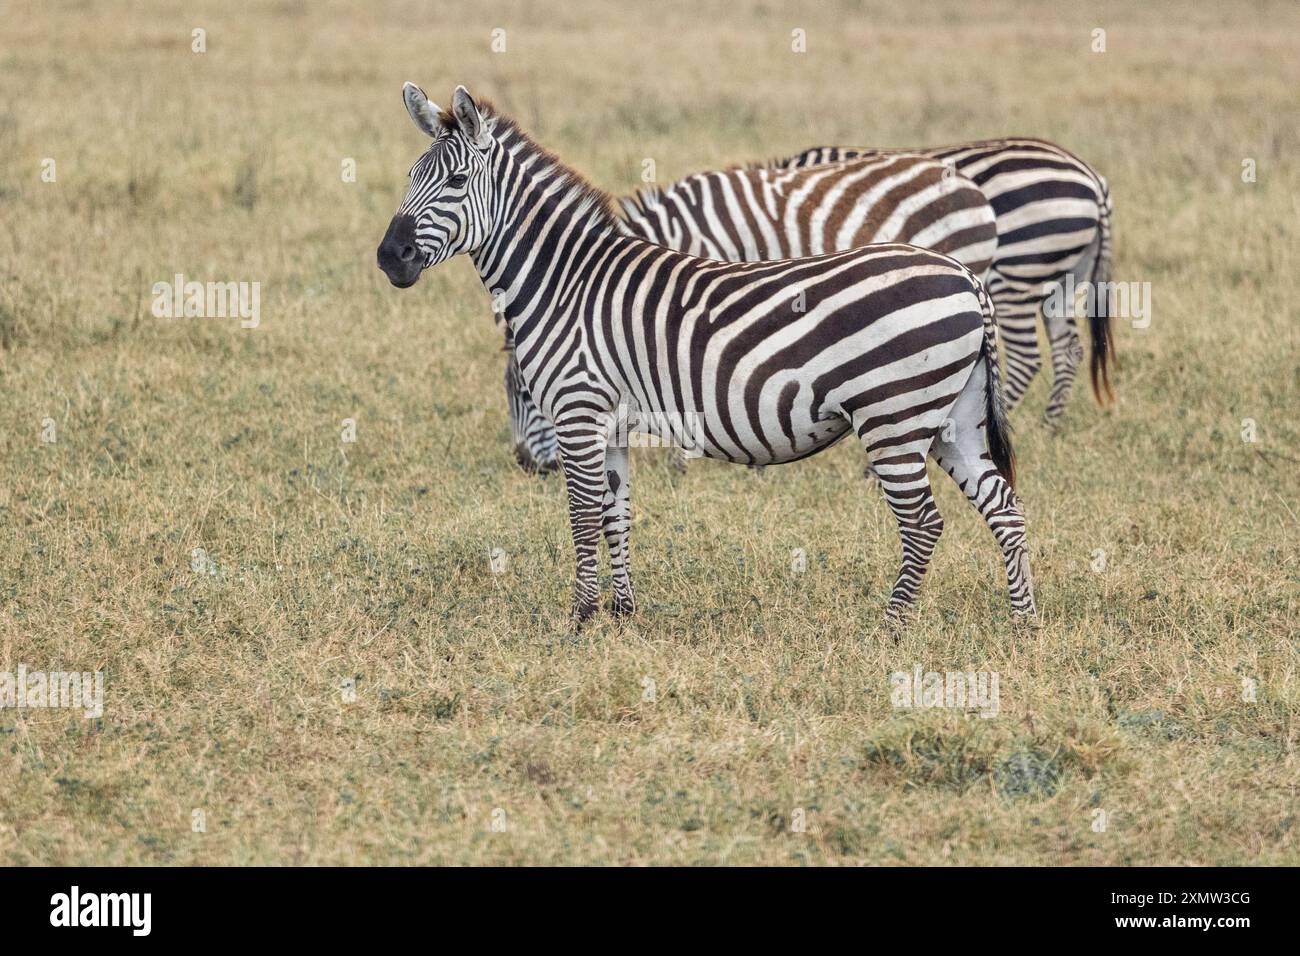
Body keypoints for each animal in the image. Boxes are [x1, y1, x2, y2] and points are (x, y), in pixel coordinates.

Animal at [769, 143, 1118, 421]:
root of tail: (1092, 178)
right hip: (1065, 278)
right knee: (1069, 348)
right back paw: (1049, 424)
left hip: (1018, 273)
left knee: (1026, 358)